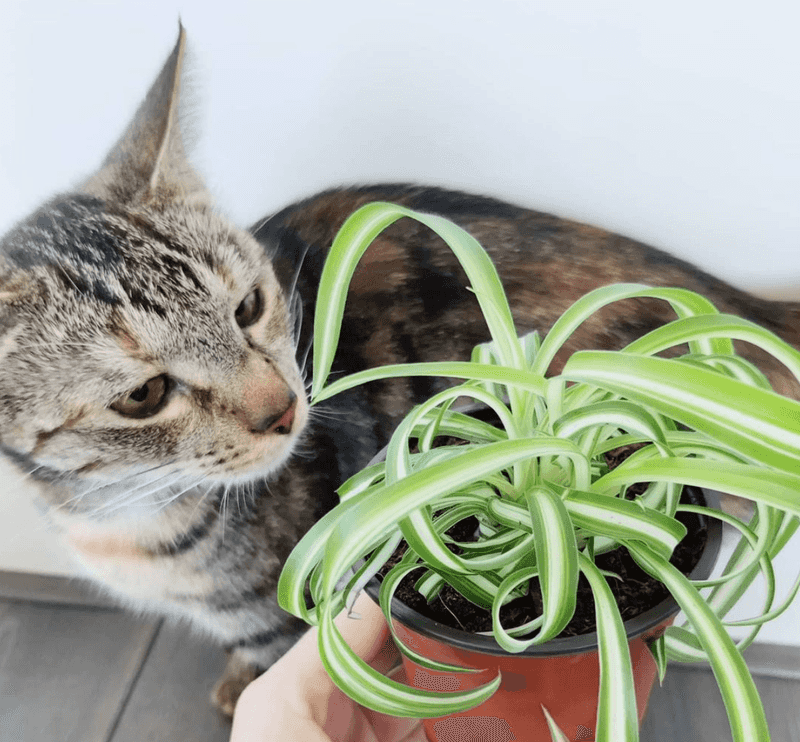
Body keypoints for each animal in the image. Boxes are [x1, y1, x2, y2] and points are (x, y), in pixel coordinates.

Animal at [1, 26, 800, 716]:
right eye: (144, 395)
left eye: (249, 306)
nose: (285, 409)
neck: (115, 517)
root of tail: (742, 311)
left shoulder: (286, 610)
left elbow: (265, 652)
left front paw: (239, 691)